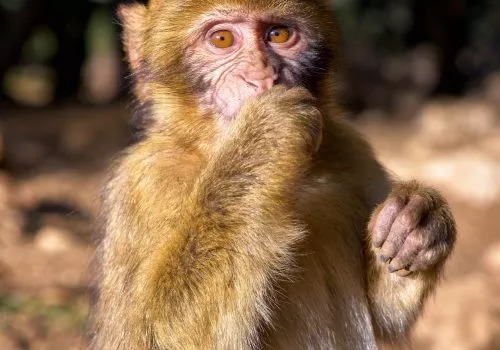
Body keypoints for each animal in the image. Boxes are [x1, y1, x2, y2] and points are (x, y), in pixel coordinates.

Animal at [87, 0, 458, 350]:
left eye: (278, 34)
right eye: (222, 40)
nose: (263, 77)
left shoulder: (352, 151)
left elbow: (386, 315)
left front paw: (419, 221)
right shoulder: (148, 179)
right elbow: (155, 333)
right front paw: (266, 134)